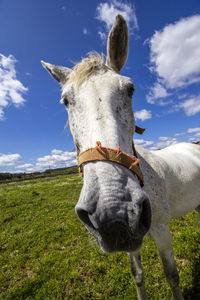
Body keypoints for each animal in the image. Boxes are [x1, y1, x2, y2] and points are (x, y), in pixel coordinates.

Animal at [41, 14, 199, 300]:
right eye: (66, 101)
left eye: (130, 90)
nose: (113, 214)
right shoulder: (131, 238)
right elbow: (138, 275)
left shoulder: (161, 228)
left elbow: (172, 275)